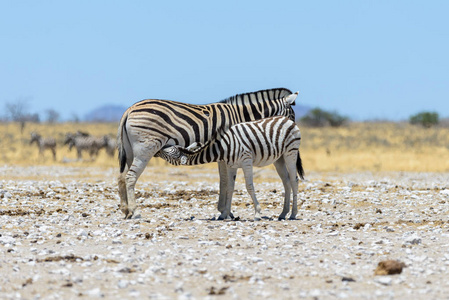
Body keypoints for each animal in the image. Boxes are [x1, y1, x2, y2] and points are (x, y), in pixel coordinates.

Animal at [156, 116, 302, 221]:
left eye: (171, 151)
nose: (158, 148)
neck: (223, 148)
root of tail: (287, 119)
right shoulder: (232, 166)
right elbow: (230, 188)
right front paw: (224, 214)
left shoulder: (246, 161)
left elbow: (249, 186)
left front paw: (257, 213)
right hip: (279, 159)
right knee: (286, 182)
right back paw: (283, 214)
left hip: (290, 152)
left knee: (294, 180)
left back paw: (293, 214)